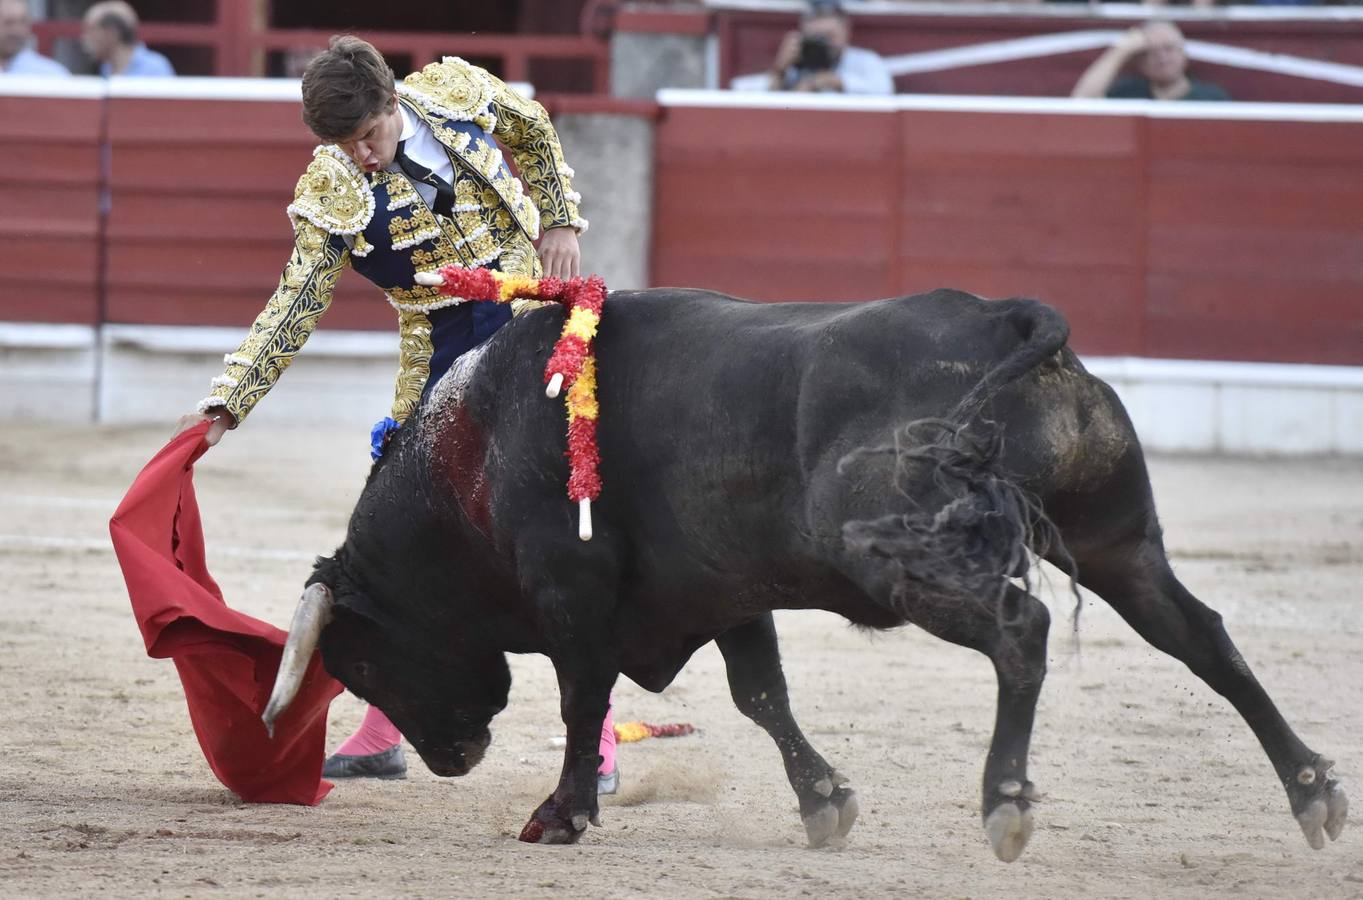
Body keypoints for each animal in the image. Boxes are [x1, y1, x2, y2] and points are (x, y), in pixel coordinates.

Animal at [260, 286, 1346, 856]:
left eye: (359, 663)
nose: (448, 759)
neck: (476, 451)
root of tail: (1000, 319)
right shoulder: (721, 592)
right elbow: (760, 695)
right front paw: (824, 804)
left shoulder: (575, 595)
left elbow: (581, 700)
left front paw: (559, 816)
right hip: (1122, 545)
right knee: (1200, 636)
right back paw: (1311, 794)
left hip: (893, 555)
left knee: (1021, 631)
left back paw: (1003, 803)